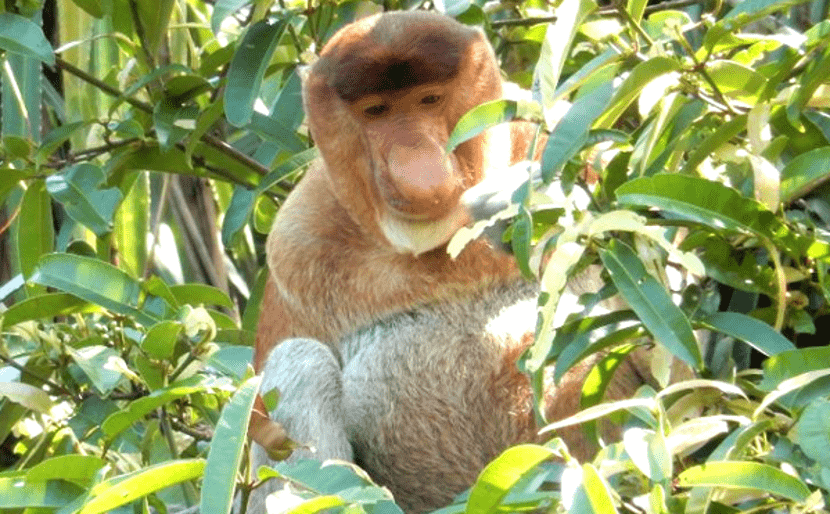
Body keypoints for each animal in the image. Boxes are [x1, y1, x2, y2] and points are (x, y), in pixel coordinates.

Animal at [249, 10, 668, 510]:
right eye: (376, 111)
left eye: (429, 99)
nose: (416, 163)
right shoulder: (295, 244)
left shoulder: (575, 145)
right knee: (299, 361)